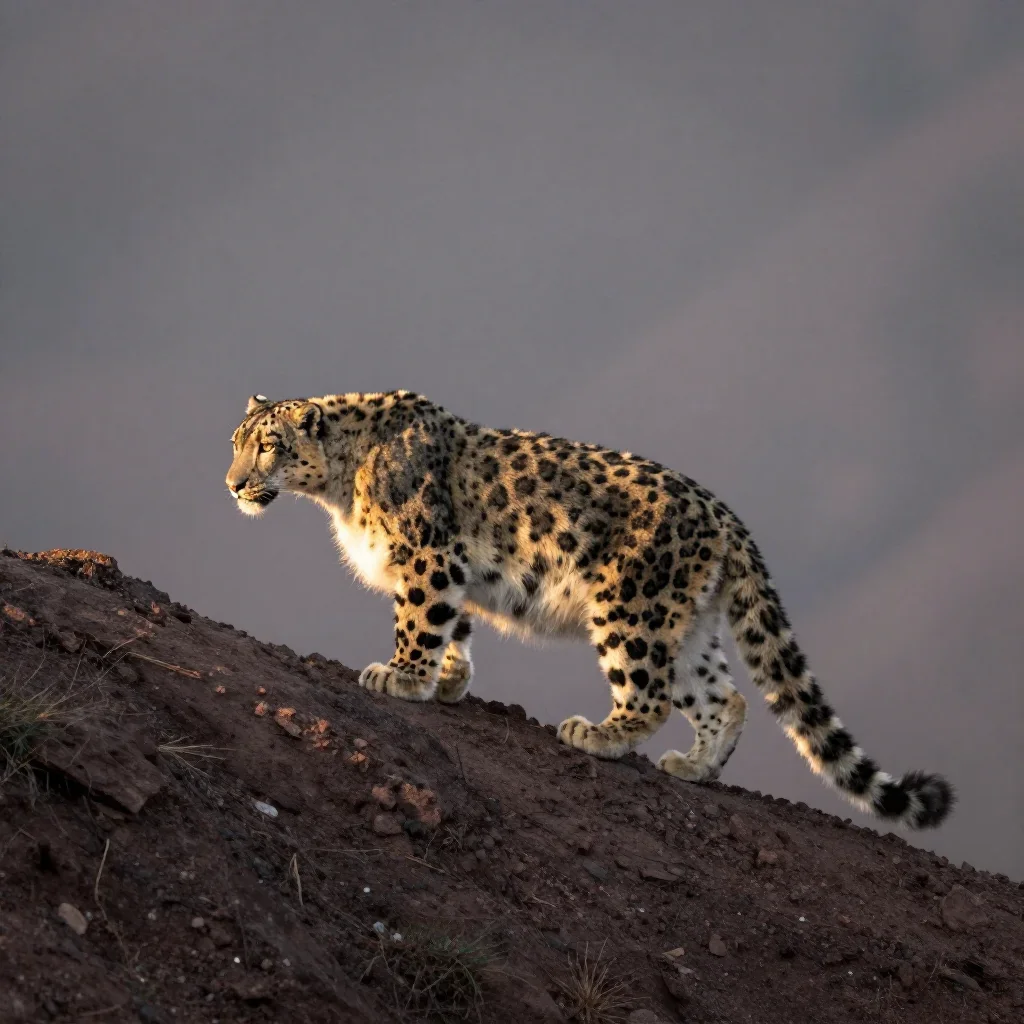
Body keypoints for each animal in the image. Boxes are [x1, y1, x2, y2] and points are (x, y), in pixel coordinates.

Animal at [225, 390, 954, 829]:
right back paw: (694, 767)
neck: (337, 487)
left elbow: (420, 621)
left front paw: (401, 677)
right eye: (234, 441)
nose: (232, 484)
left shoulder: (428, 559)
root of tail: (725, 514)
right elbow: (454, 625)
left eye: (267, 446)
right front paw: (449, 680)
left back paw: (596, 735)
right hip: (688, 628)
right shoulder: (452, 570)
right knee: (726, 697)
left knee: (649, 695)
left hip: (631, 611)